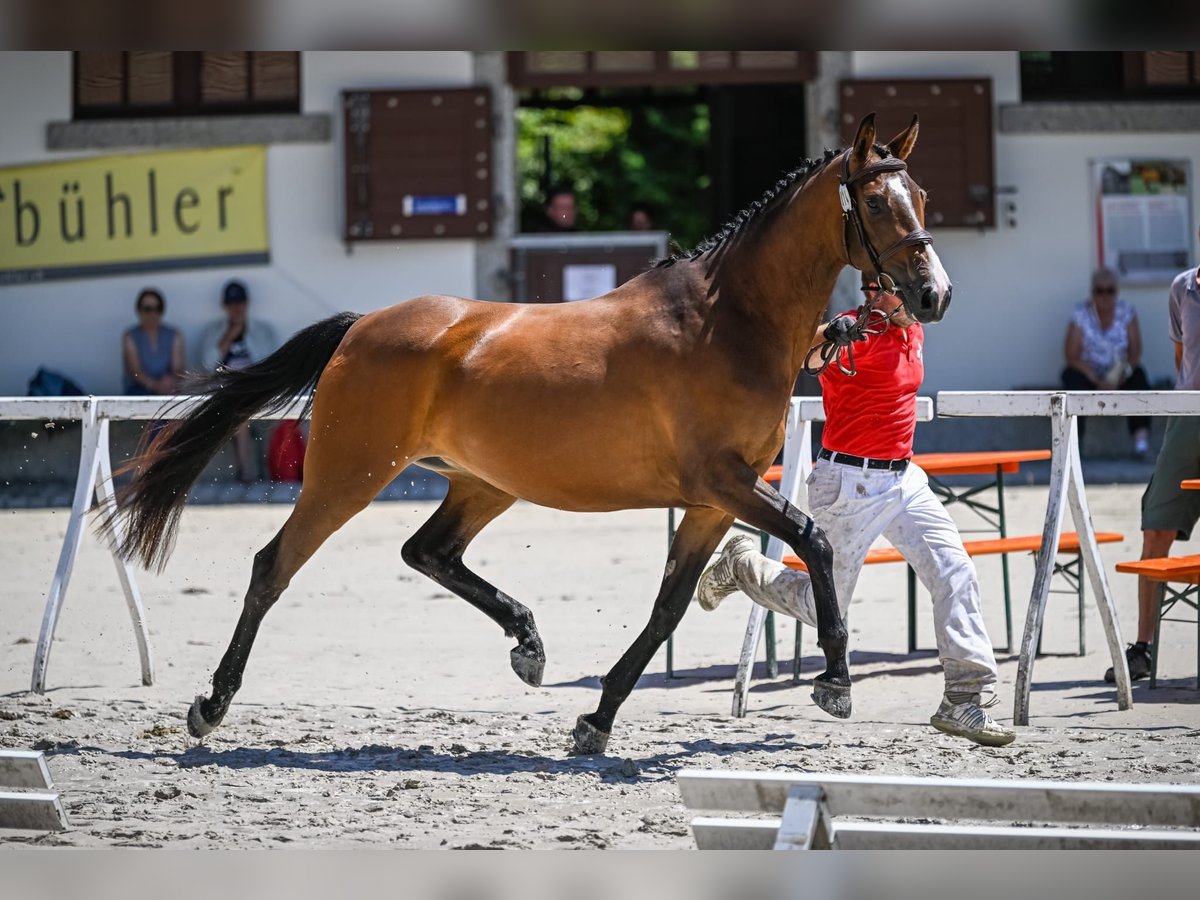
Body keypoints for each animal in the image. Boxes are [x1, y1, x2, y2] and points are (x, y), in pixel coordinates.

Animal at [105, 116, 945, 758]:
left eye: (924, 195)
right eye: (877, 200)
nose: (933, 295)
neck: (725, 321)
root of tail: (361, 325)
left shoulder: (710, 505)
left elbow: (668, 608)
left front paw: (595, 719)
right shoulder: (725, 483)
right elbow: (817, 542)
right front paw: (834, 682)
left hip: (483, 483)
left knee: (428, 552)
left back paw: (528, 644)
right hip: (349, 476)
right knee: (273, 567)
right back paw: (212, 704)